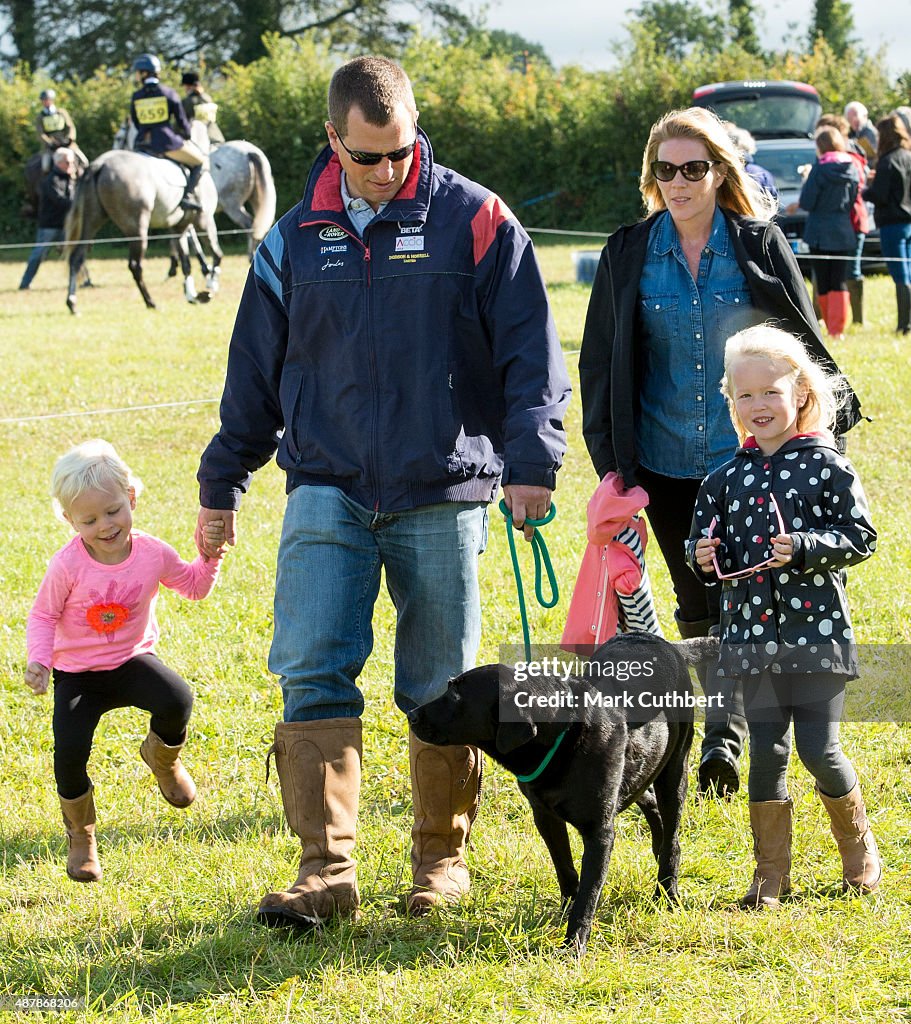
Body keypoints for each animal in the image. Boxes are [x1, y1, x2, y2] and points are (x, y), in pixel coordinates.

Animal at [407, 630, 712, 950]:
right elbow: (564, 868)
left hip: (675, 771)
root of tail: (665, 644)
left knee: (672, 837)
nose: (412, 714)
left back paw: (668, 891)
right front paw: (566, 911)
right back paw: (657, 846)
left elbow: (590, 892)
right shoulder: (545, 816)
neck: (563, 734)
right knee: (648, 800)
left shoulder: (600, 833)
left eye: (456, 696)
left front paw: (574, 943)